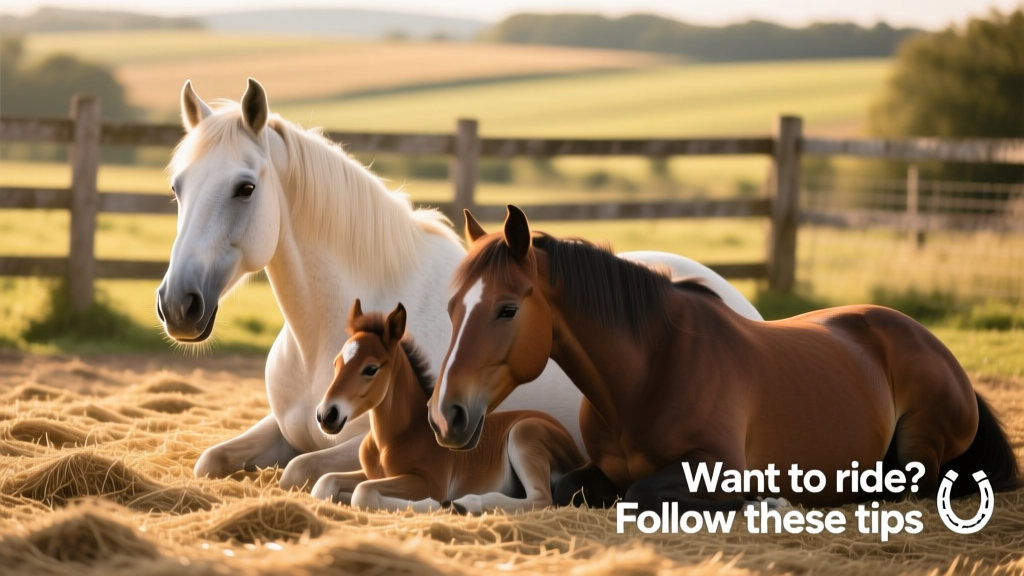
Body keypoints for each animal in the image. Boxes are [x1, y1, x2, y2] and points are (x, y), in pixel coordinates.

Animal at [156, 78, 762, 490]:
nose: (178, 305)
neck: (322, 338)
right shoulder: (283, 426)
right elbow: (212, 459)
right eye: (177, 186)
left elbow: (300, 469)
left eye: (245, 187)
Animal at [309, 300, 583, 513]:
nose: (326, 415)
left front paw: (432, 505)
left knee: (542, 498)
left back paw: (465, 504)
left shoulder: (428, 481)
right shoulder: (372, 473)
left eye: (371, 368)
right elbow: (324, 483)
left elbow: (363, 493)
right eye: (336, 363)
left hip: (524, 435)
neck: (394, 437)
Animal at [427, 205, 1021, 511]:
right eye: (452, 307)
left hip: (921, 441)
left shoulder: (715, 470)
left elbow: (640, 494)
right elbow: (563, 487)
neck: (648, 376)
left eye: (506, 309)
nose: (445, 415)